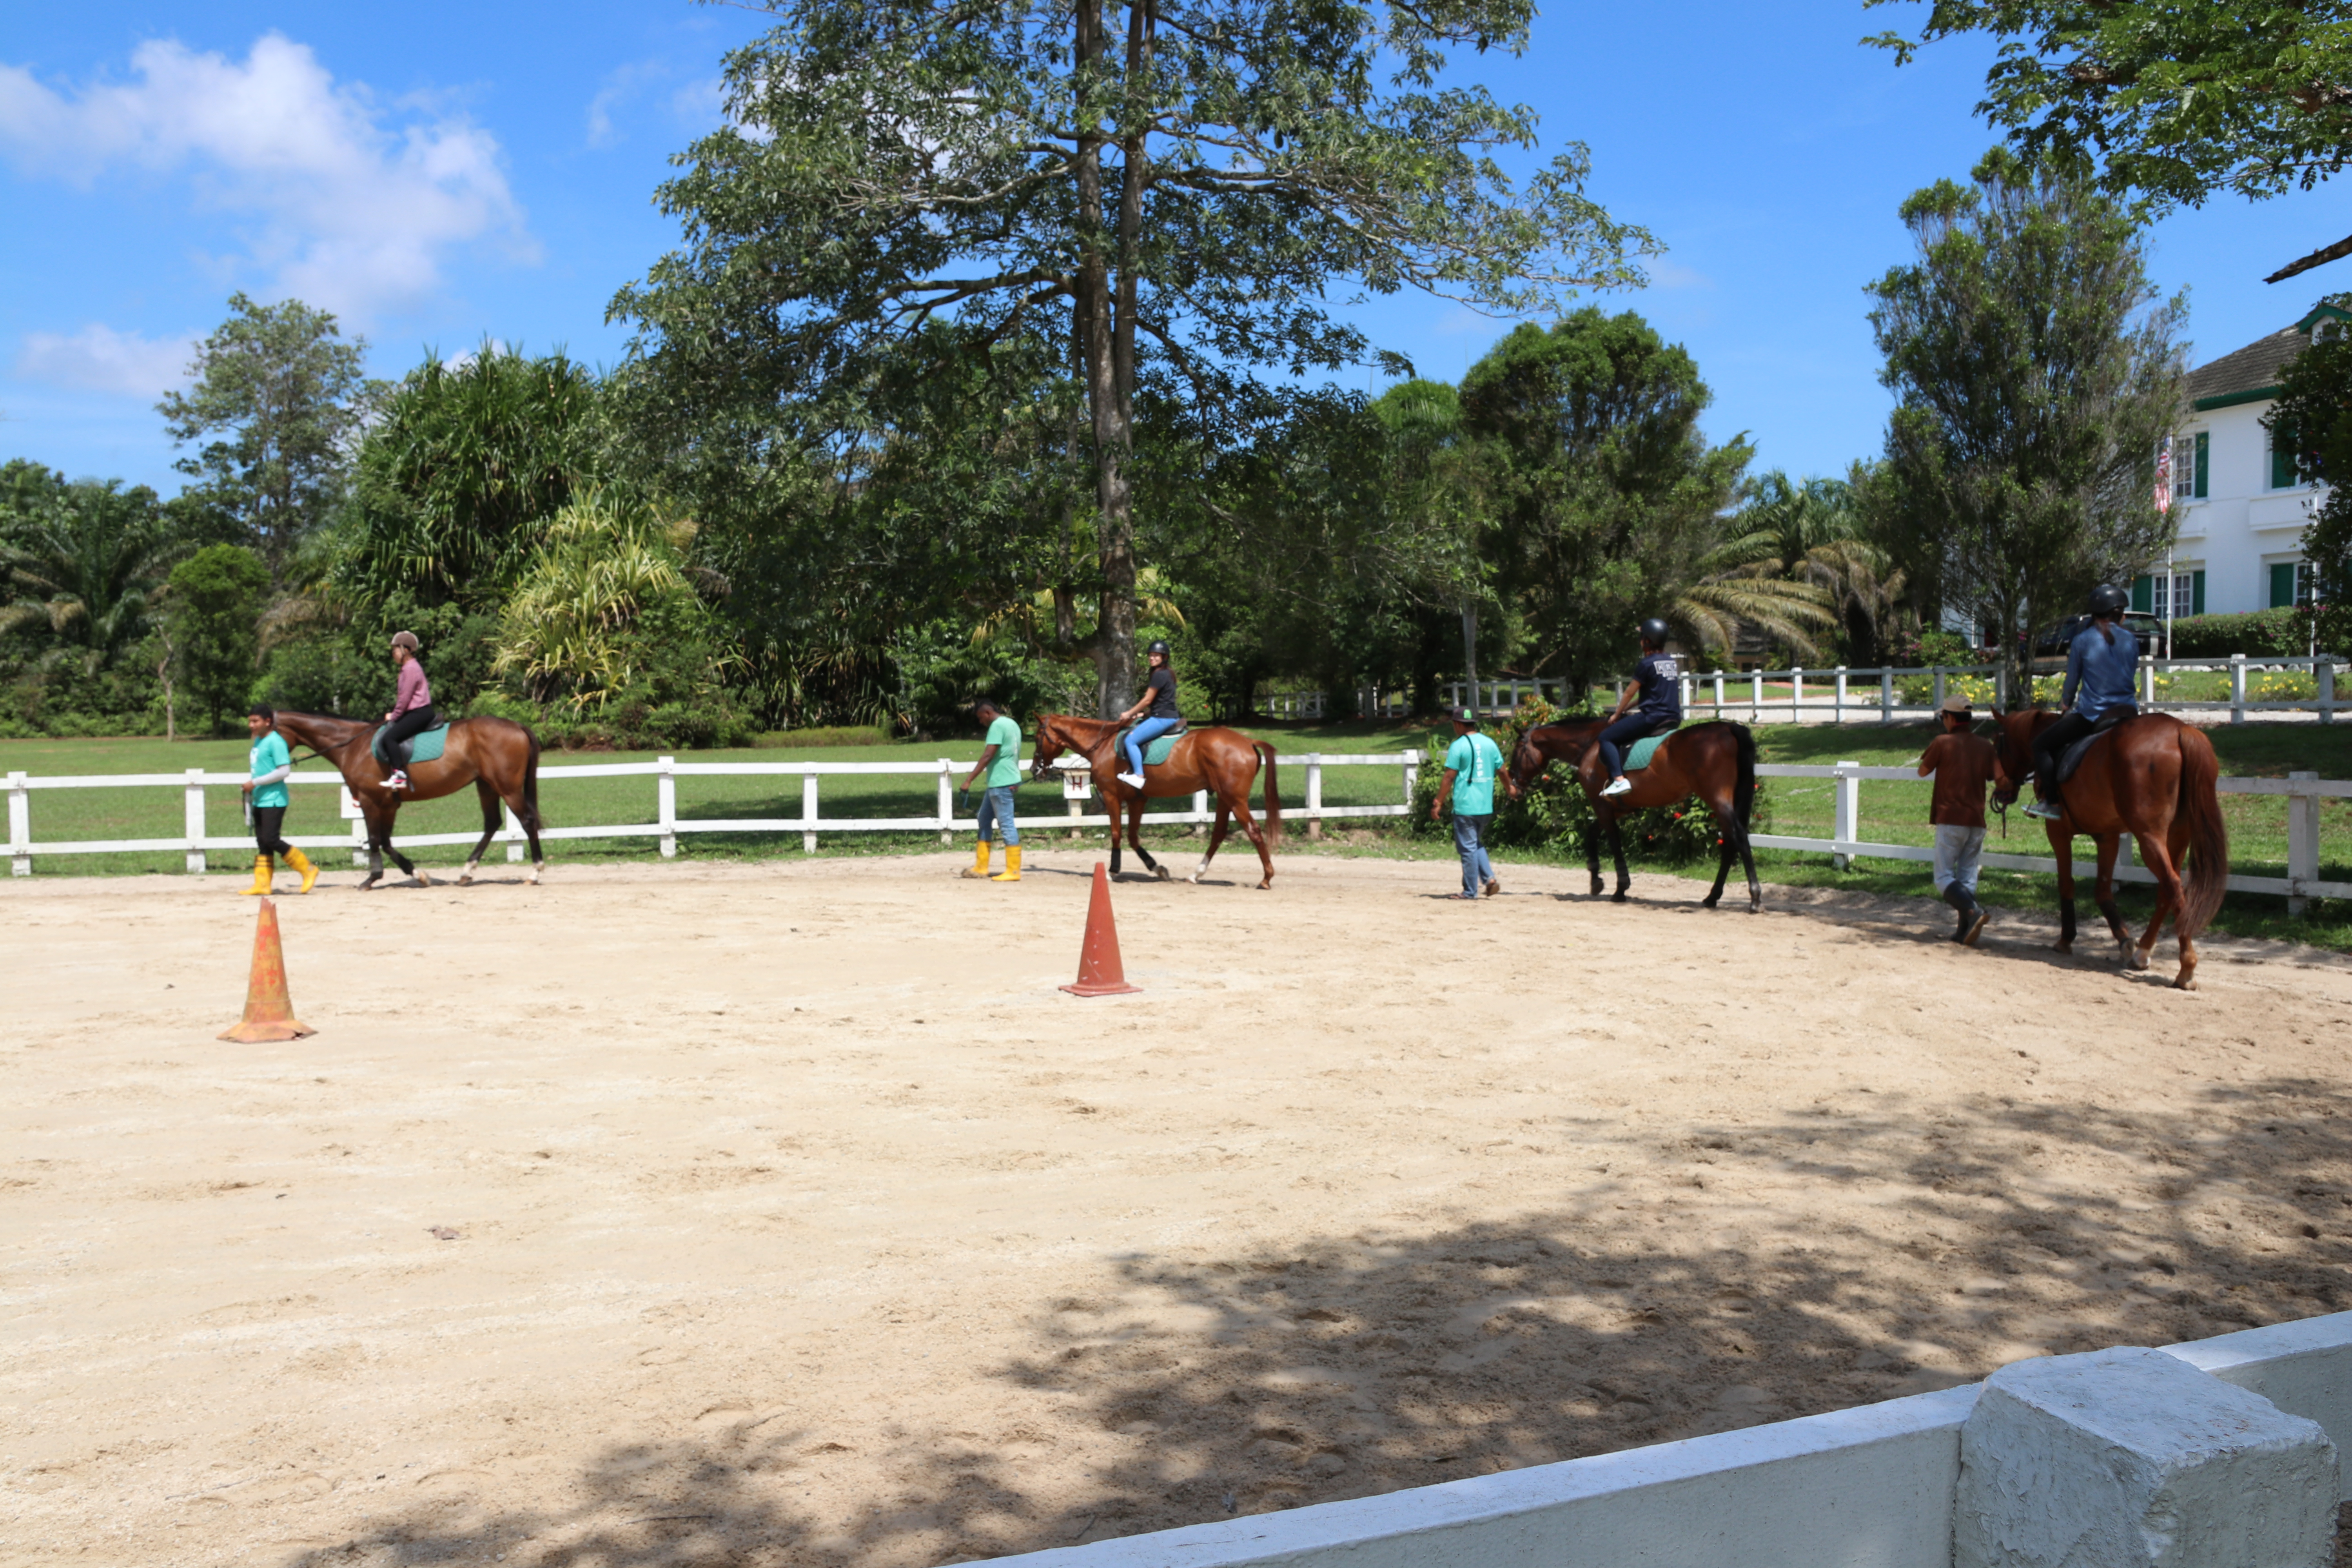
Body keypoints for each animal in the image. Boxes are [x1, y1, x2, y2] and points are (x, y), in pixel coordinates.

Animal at [270, 710, 548, 891]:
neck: (353, 746)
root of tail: (517, 726)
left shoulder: (370, 801)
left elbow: (374, 840)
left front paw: (371, 879)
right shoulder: (389, 805)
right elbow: (387, 842)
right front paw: (418, 875)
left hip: (507, 787)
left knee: (526, 821)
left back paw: (535, 873)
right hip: (487, 785)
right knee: (492, 823)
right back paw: (467, 873)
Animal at [1028, 713, 1283, 888]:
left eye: (1039, 737)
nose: (1035, 769)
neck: (1103, 745)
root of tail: (1248, 742)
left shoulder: (1112, 796)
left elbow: (1117, 833)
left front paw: (1112, 871)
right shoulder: (1137, 799)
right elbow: (1133, 837)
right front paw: (1157, 868)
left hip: (1235, 799)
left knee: (1253, 830)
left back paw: (1266, 878)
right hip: (1224, 798)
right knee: (1219, 833)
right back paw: (1196, 874)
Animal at [1506, 717, 1762, 912]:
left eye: (1516, 752)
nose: (1513, 787)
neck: (1590, 746)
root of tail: (1728, 728)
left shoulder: (1602, 806)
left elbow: (1614, 843)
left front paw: (1620, 888)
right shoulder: (1617, 808)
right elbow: (1591, 833)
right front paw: (1596, 878)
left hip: (1718, 799)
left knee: (1739, 838)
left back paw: (1755, 898)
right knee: (1730, 843)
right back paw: (1712, 897)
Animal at [1987, 707, 2228, 989]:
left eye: (1998, 744)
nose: (2000, 792)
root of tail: (2181, 730)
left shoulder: (2058, 831)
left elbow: (2066, 883)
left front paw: (2066, 939)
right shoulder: (2108, 836)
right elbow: (2102, 890)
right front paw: (2124, 941)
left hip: (2149, 836)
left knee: (2172, 885)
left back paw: (2186, 968)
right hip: (2179, 836)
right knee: (2167, 889)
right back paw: (2143, 953)